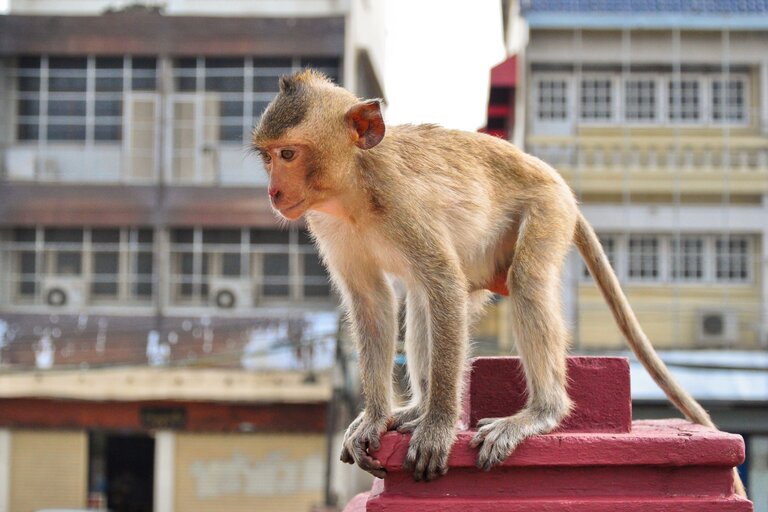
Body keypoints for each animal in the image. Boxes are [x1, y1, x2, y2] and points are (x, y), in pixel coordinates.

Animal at [250, 69, 744, 496]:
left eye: (289, 154)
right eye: (268, 157)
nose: (273, 192)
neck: (353, 187)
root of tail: (558, 182)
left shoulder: (402, 200)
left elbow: (442, 283)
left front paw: (439, 427)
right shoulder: (327, 223)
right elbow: (372, 301)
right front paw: (375, 418)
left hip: (548, 208)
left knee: (521, 282)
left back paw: (536, 414)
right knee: (425, 301)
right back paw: (415, 409)